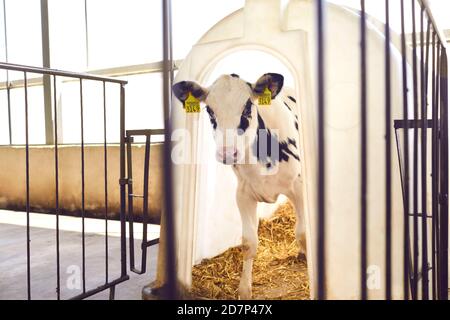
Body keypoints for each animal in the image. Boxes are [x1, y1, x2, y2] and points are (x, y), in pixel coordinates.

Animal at [172, 73, 306, 300]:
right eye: (210, 110)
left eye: (247, 107)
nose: (227, 152)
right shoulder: (243, 195)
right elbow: (248, 242)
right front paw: (244, 290)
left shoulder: (299, 187)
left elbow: (303, 234)